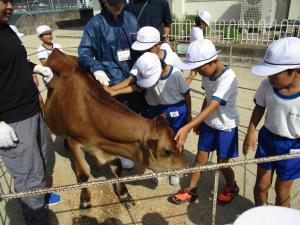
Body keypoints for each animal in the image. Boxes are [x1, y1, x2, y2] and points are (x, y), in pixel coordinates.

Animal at [44, 49, 188, 209]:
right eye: (167, 151)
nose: (186, 168)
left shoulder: (110, 144)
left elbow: (117, 169)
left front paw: (124, 195)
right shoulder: (74, 141)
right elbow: (83, 174)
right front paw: (85, 200)